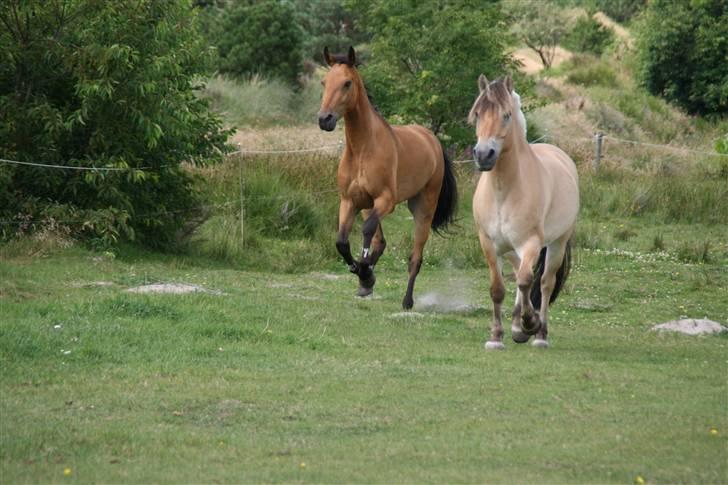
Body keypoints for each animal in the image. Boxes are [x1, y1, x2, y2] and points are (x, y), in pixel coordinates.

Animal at [318, 47, 456, 308]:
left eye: (347, 83)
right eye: (324, 82)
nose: (324, 119)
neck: (362, 149)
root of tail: (431, 139)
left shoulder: (386, 201)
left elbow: (367, 230)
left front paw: (364, 271)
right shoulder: (350, 201)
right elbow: (342, 242)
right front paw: (363, 275)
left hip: (423, 208)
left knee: (415, 257)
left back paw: (407, 300)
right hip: (369, 204)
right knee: (379, 242)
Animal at [470, 73, 576, 348]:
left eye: (506, 115)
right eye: (478, 114)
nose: (484, 155)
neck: (503, 192)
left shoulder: (531, 243)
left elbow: (528, 281)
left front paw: (530, 323)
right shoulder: (489, 244)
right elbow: (498, 288)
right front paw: (496, 337)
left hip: (557, 244)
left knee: (545, 283)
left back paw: (539, 334)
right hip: (510, 250)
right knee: (520, 274)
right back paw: (517, 328)